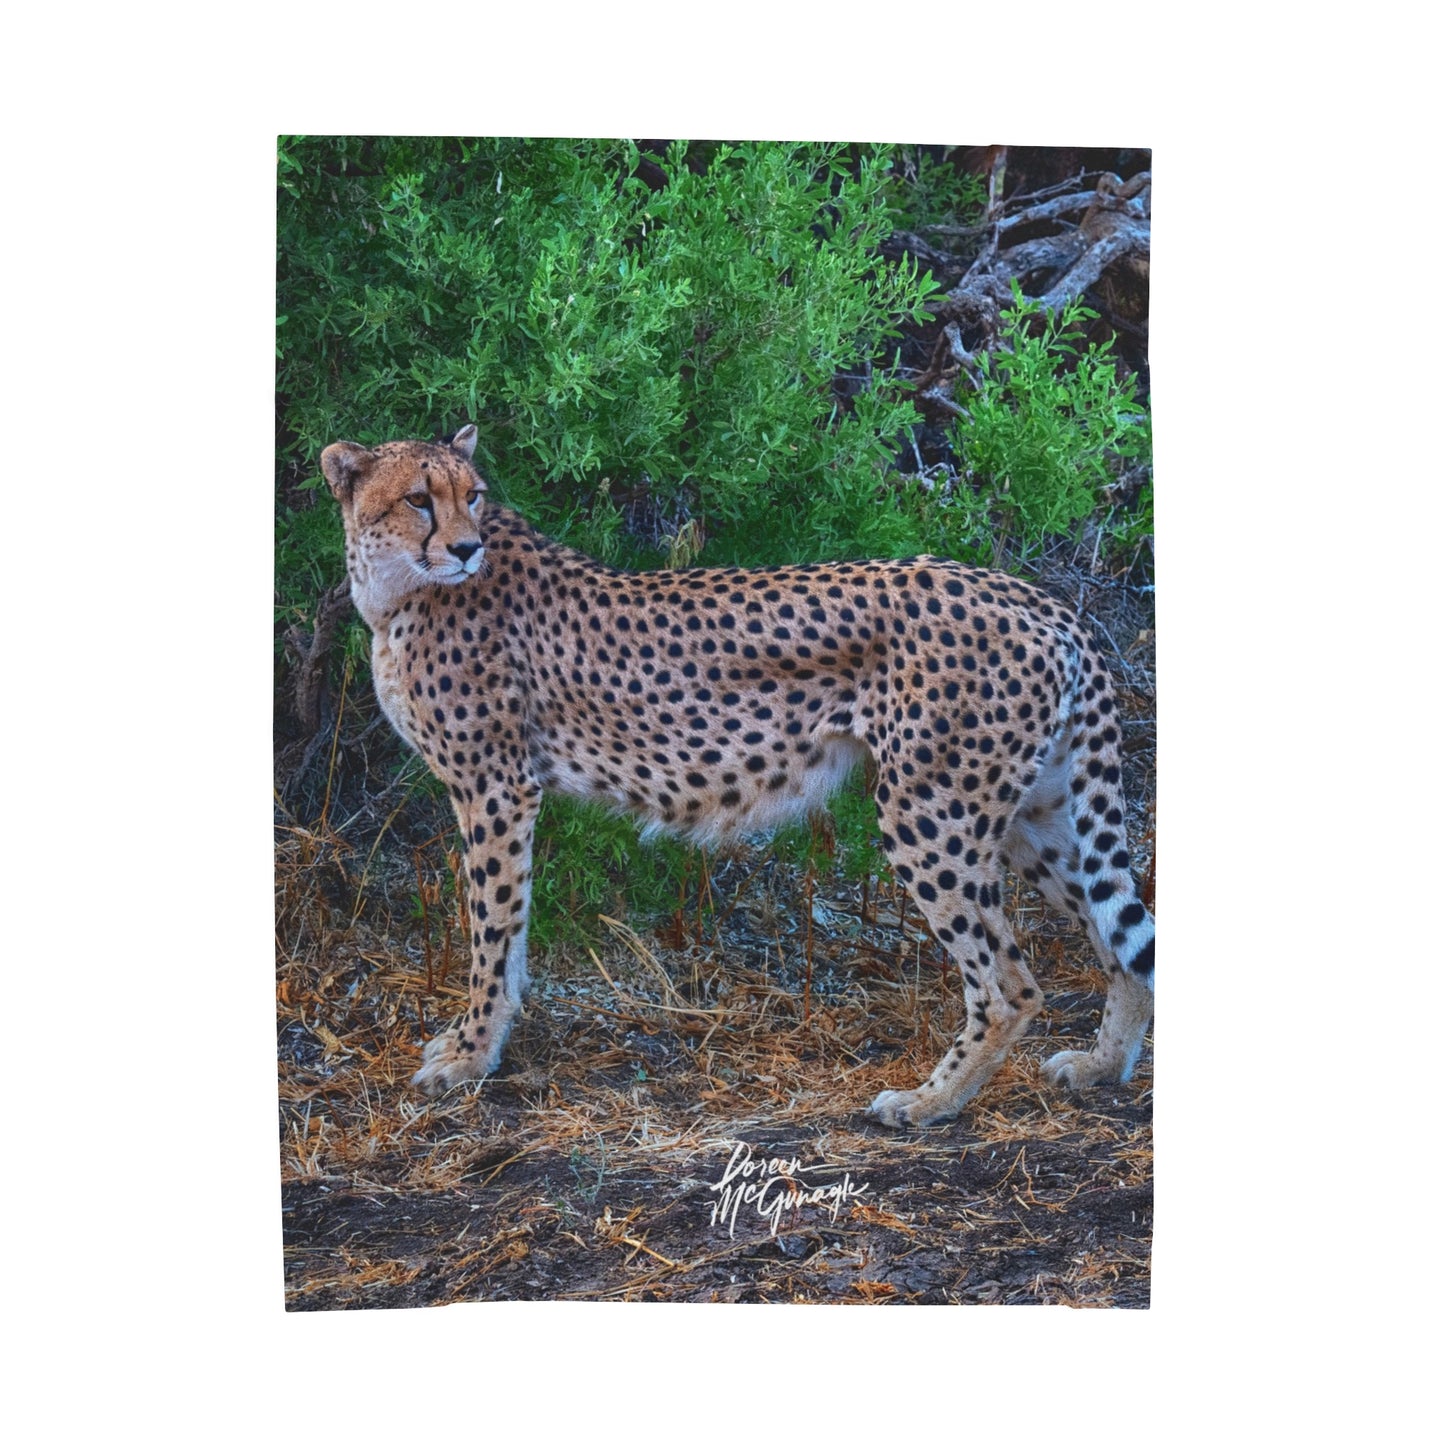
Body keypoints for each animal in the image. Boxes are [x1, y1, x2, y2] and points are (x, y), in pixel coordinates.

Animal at [320, 425, 1155, 1128]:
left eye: (473, 495)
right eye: (418, 498)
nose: (465, 548)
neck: (398, 589)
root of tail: (1037, 597)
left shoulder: (494, 786)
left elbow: (491, 929)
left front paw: (470, 1055)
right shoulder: (502, 790)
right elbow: (510, 928)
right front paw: (482, 1041)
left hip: (931, 810)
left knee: (1011, 983)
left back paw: (928, 1102)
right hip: (1032, 814)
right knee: (1120, 932)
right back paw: (1100, 1065)